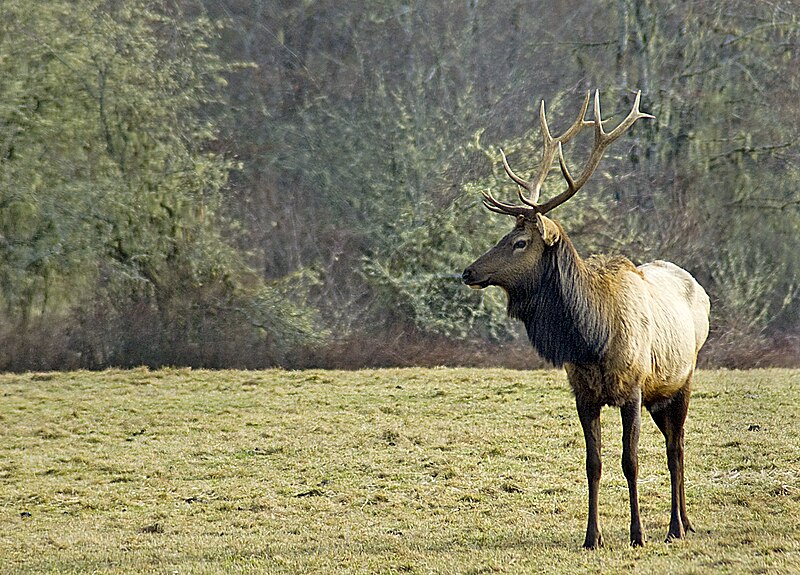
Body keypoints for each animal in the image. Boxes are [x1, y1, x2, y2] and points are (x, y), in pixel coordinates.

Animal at [462, 91, 712, 548]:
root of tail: (700, 290)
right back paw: (684, 522)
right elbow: (592, 463)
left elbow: (630, 461)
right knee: (674, 444)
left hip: (681, 379)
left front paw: (637, 534)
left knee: (676, 448)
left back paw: (674, 526)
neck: (592, 339)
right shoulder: (583, 393)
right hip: (659, 395)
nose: (468, 272)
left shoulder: (632, 389)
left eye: (519, 241)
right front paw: (591, 536)